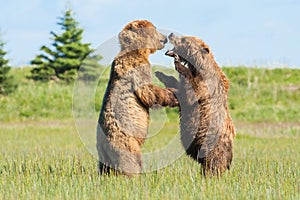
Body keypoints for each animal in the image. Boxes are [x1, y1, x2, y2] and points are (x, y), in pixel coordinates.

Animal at [96, 20, 178, 177]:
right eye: (155, 29)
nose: (165, 37)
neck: (138, 51)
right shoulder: (136, 66)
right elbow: (146, 90)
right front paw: (173, 95)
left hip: (103, 151)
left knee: (104, 165)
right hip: (125, 141)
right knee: (131, 160)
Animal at [156, 33, 236, 177]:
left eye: (184, 39)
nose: (171, 34)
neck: (198, 66)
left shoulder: (205, 86)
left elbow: (191, 91)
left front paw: (178, 62)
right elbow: (179, 86)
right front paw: (160, 73)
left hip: (212, 145)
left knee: (213, 165)